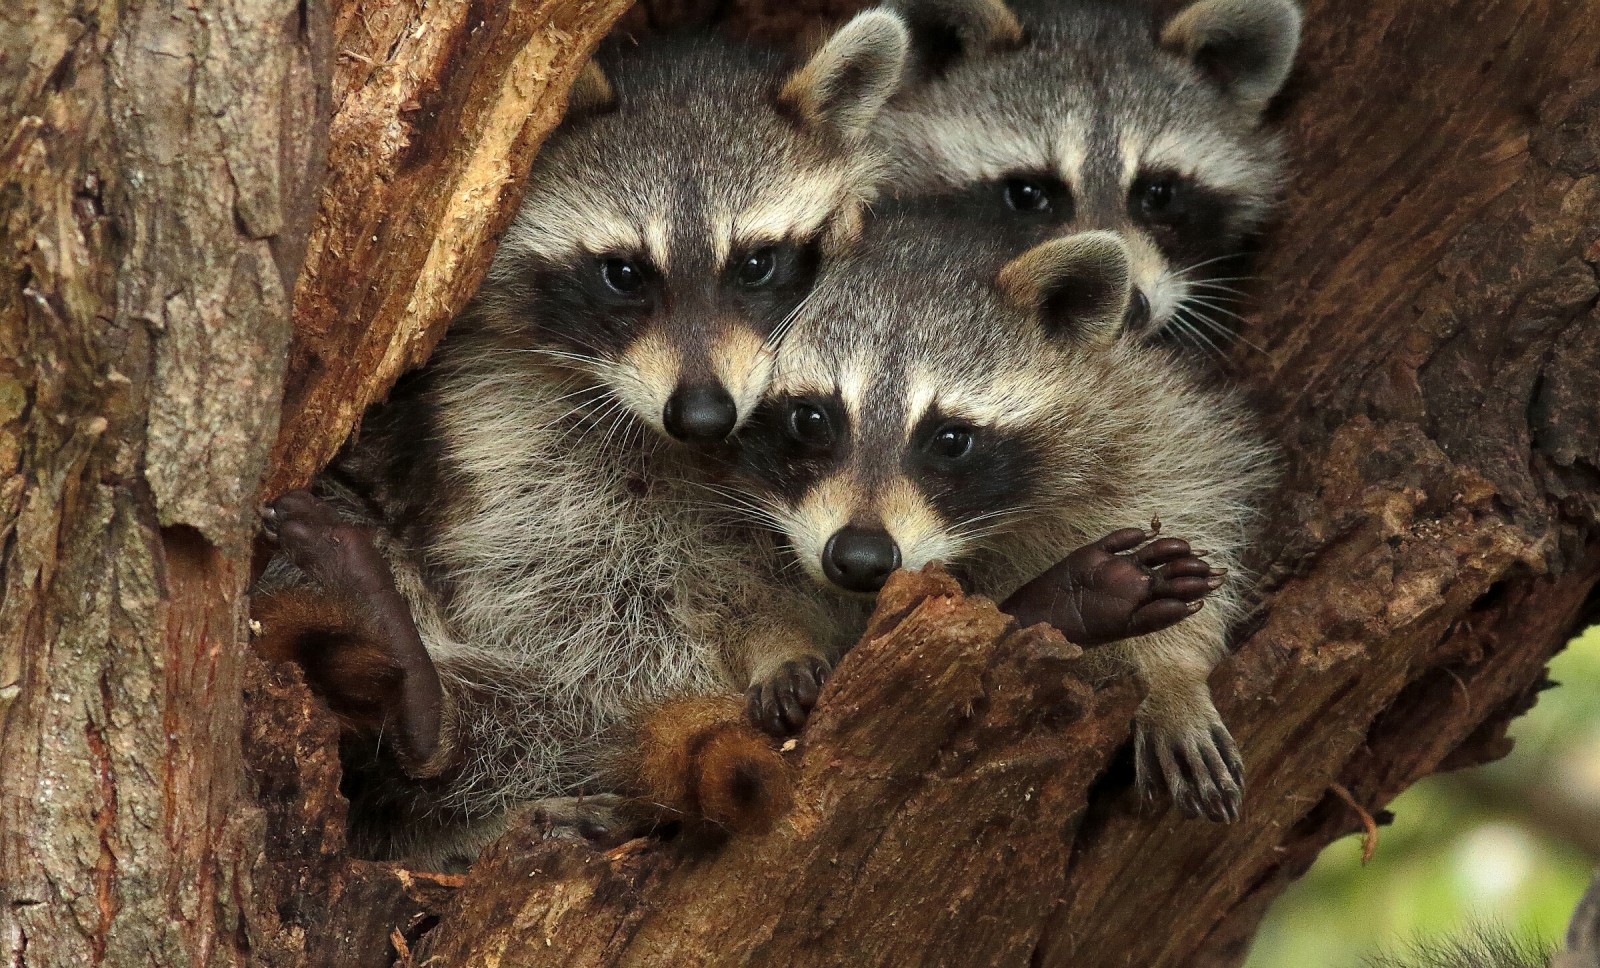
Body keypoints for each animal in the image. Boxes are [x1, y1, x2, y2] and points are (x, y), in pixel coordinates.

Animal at [729, 211, 1273, 816]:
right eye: (811, 418)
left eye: (950, 439)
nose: (861, 557)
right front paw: (778, 642)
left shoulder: (1134, 408)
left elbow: (1192, 493)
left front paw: (1174, 677)